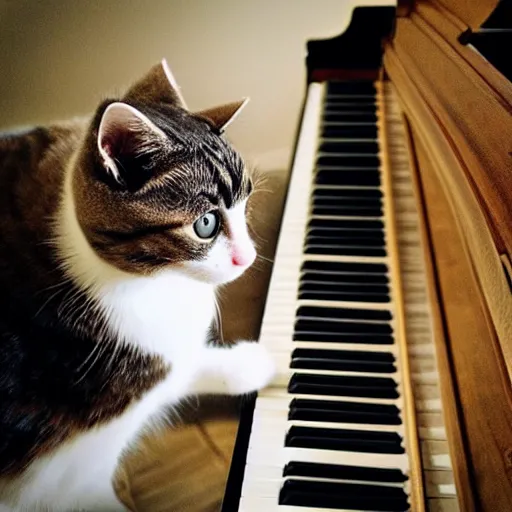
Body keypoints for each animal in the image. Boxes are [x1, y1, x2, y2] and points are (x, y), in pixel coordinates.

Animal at [0, 58, 276, 510]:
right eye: (206, 224)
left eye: (245, 204)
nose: (248, 257)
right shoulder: (66, 473)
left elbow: (183, 366)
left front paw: (256, 362)